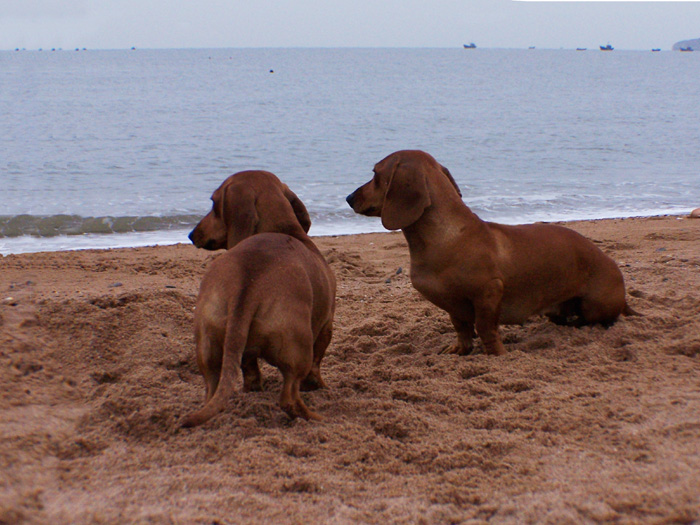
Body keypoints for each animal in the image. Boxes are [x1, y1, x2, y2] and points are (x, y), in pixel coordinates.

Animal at [179, 172, 334, 426]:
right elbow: (316, 365)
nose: (192, 235)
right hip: (298, 353)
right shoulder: (326, 325)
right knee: (289, 398)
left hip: (208, 349)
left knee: (212, 390)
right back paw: (316, 417)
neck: (283, 230)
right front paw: (317, 386)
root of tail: (247, 284)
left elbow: (250, 372)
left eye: (213, 204)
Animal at [348, 149, 632, 358]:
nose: (349, 197)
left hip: (595, 306)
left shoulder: (489, 291)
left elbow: (485, 327)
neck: (445, 239)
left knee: (597, 320)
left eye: (375, 174)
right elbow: (461, 328)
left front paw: (496, 353)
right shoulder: (452, 304)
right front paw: (460, 349)